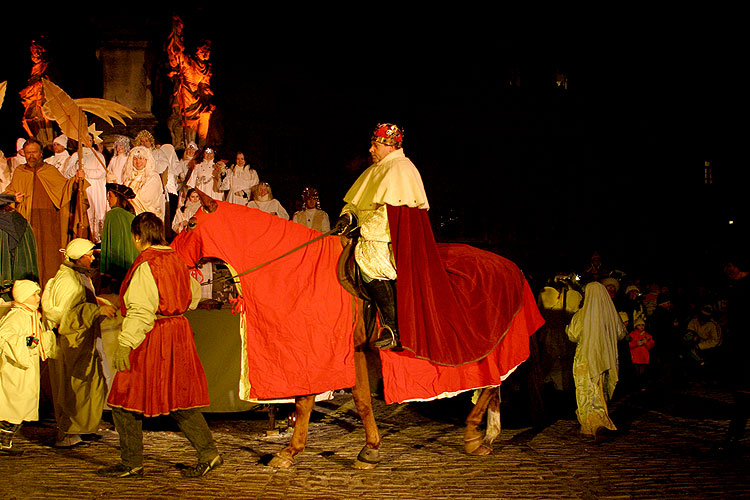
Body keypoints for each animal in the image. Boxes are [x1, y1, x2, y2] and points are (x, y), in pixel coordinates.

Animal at [170, 196, 548, 468]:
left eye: (192, 222)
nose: (170, 256)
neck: (303, 267)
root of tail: (513, 266)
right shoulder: (353, 352)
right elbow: (354, 402)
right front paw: (363, 449)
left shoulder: (331, 352)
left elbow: (313, 401)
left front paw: (296, 451)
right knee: (493, 383)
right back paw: (487, 435)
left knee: (490, 384)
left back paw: (472, 435)